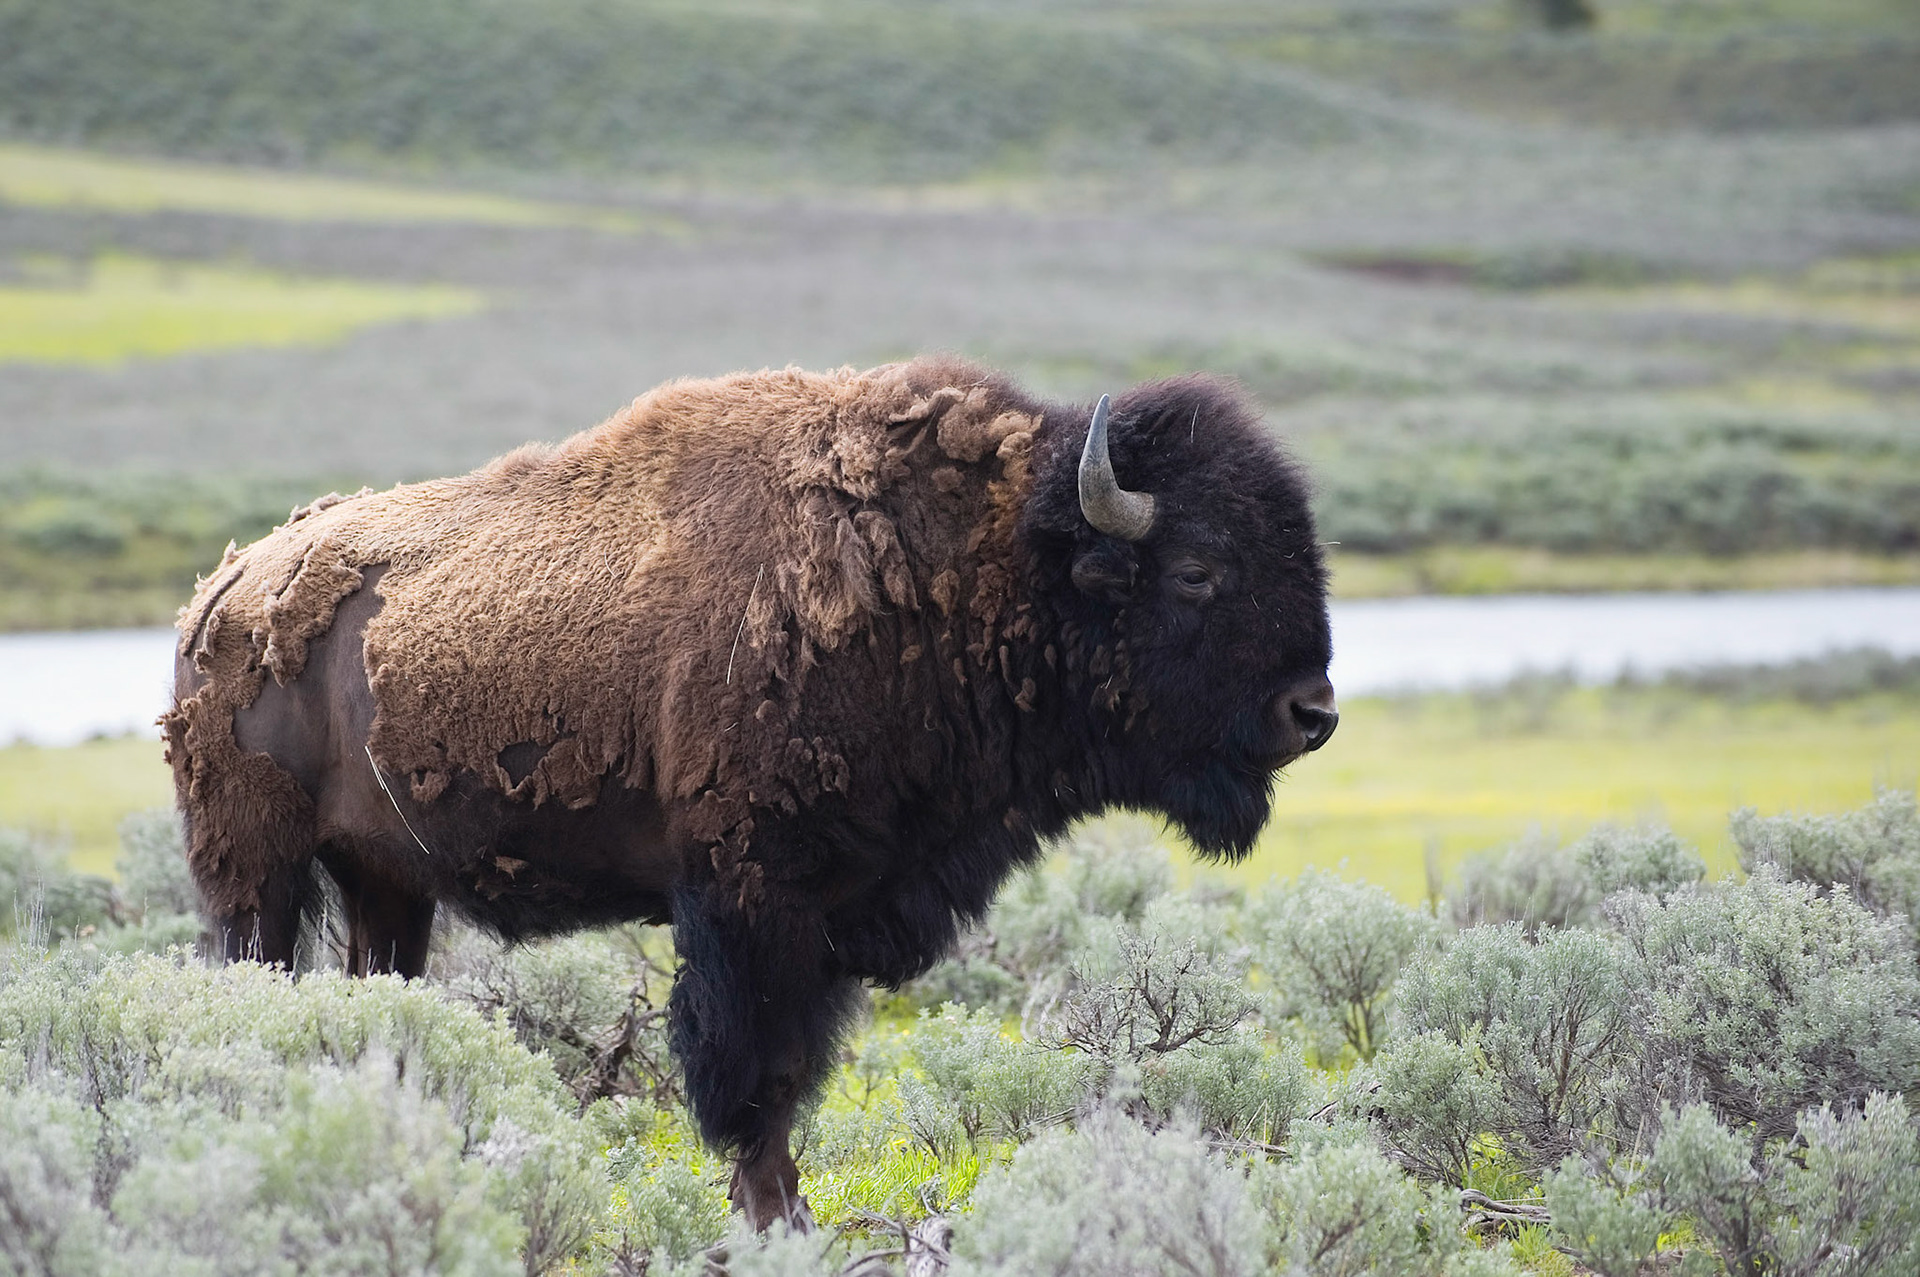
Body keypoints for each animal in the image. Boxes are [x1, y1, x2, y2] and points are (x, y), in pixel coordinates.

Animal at [164, 355, 1336, 1228]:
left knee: (379, 1002)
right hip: (256, 872)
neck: (977, 563)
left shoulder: (833, 911)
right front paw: (773, 1215)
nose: (1313, 710)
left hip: (387, 883)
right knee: (253, 974)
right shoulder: (750, 899)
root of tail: (223, 593)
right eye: (1197, 570)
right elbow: (755, 1073)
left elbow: (792, 1065)